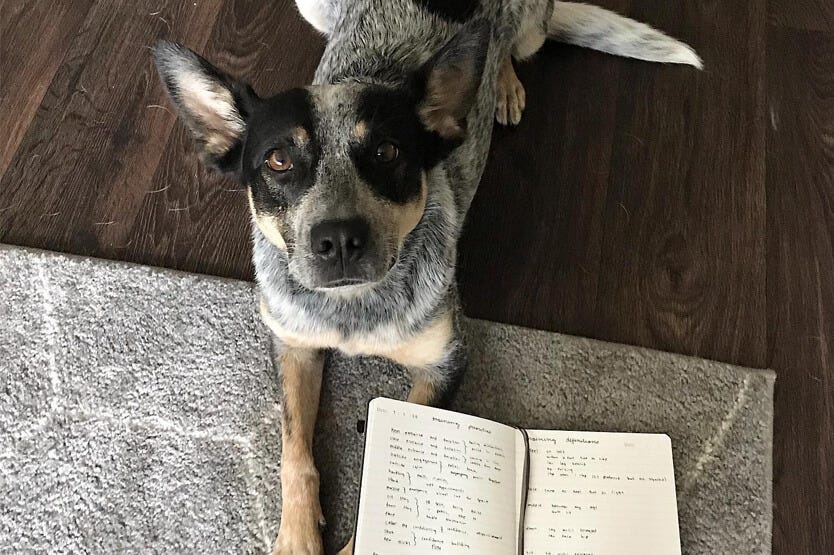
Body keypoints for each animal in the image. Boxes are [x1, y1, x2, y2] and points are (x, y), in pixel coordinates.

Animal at [153, 2, 700, 552]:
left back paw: (503, 83)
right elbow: (294, 450)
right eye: (278, 160)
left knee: (513, 46)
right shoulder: (293, 344)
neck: (355, 306)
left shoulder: (444, 362)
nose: (339, 239)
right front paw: (297, 536)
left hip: (528, 28)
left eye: (387, 152)